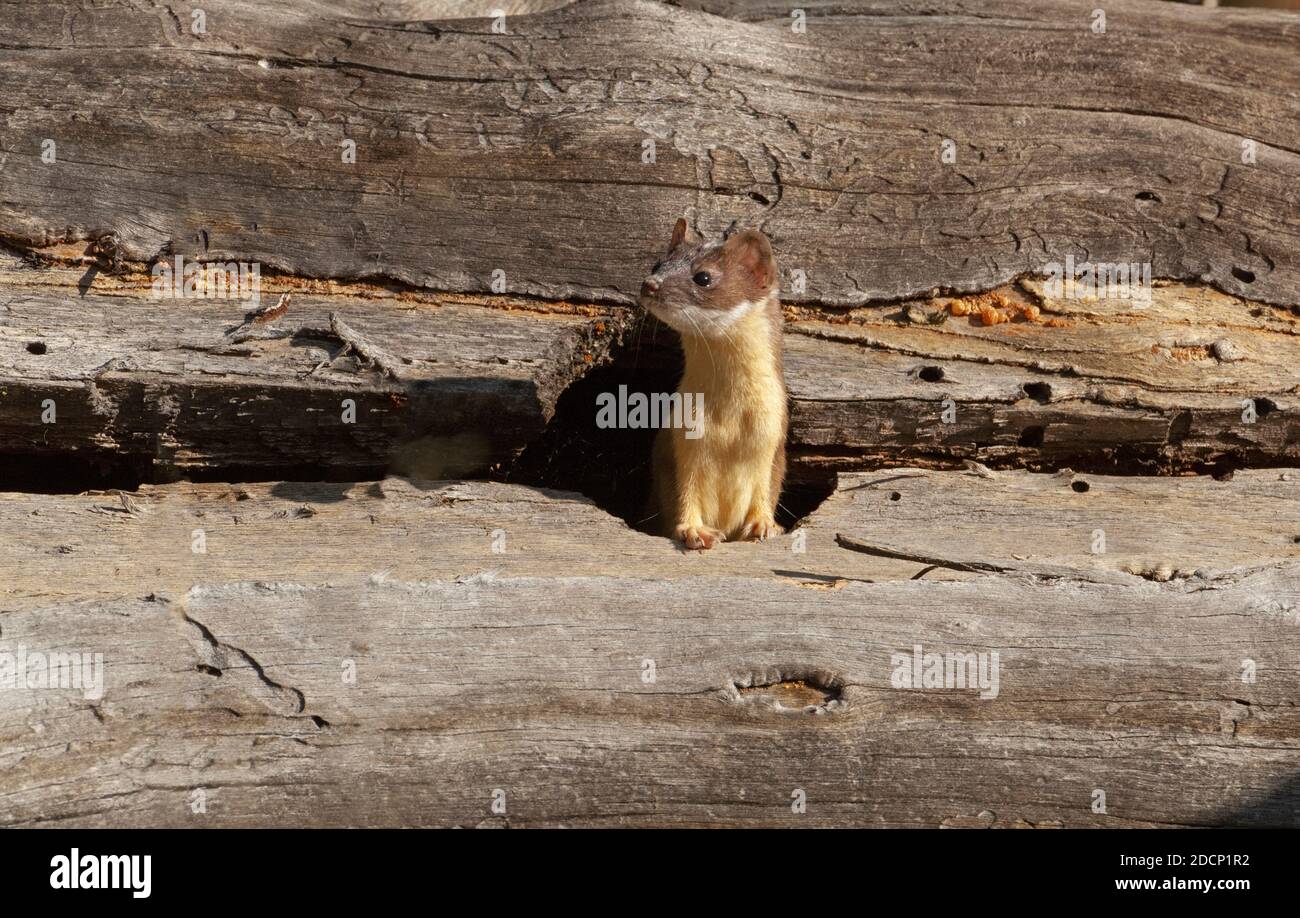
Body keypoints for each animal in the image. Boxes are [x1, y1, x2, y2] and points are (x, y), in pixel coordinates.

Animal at [637, 218, 785, 546]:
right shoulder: (679, 440)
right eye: (657, 264)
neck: (729, 423)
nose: (650, 283)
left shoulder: (773, 435)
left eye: (703, 276)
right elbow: (682, 493)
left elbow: (767, 488)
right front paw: (695, 530)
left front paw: (764, 524)